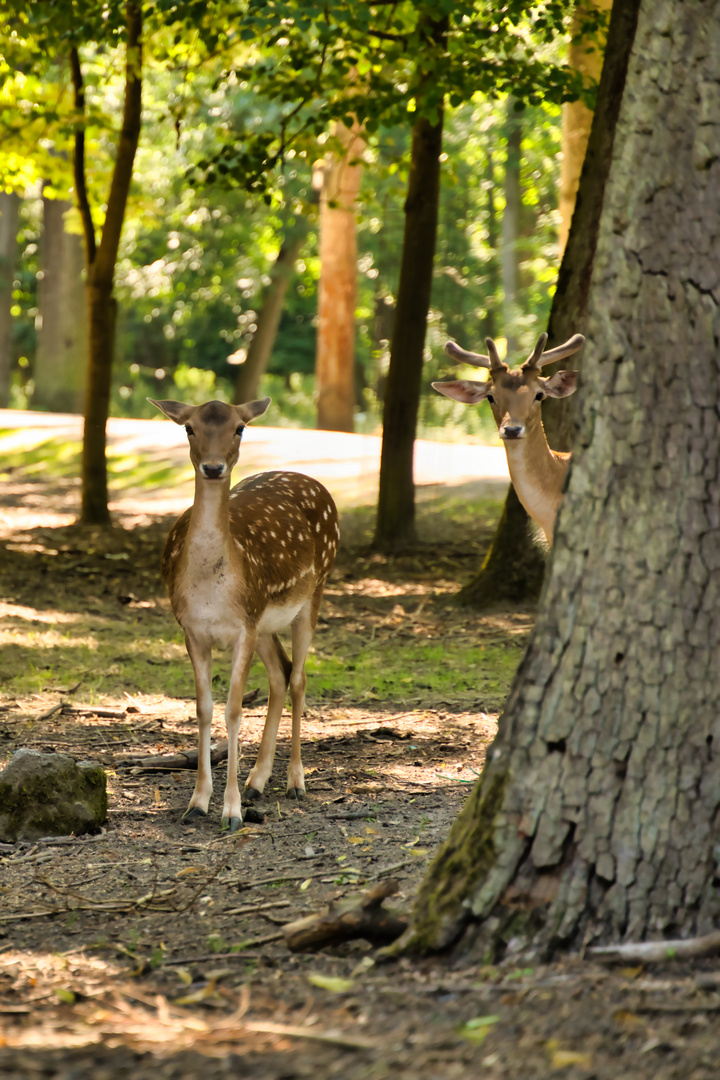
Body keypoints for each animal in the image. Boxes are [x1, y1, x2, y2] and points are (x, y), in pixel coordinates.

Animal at [150, 401, 341, 829]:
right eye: (188, 427)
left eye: (239, 428)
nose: (213, 467)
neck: (211, 591)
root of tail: (313, 482)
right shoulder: (192, 630)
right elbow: (204, 709)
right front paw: (197, 803)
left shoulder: (243, 628)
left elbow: (234, 709)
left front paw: (232, 810)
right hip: (265, 621)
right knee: (281, 673)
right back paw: (258, 780)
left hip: (314, 592)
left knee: (299, 677)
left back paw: (295, 781)